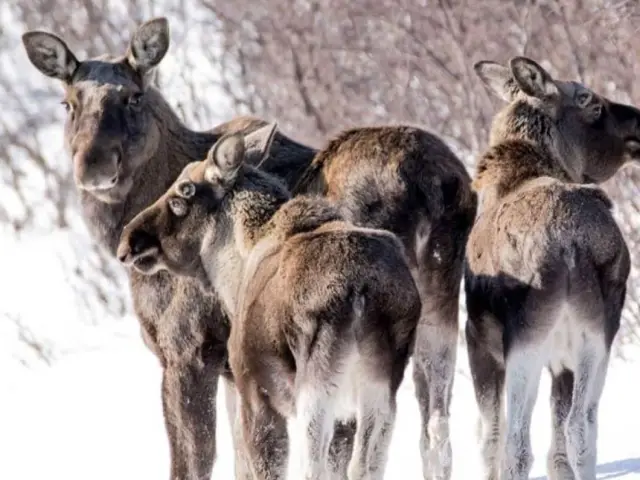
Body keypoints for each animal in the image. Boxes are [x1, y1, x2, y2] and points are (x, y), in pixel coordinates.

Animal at [116, 123, 422, 480]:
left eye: (183, 193)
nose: (129, 241)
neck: (234, 269)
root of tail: (360, 292)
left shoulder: (254, 390)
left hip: (317, 383)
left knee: (312, 466)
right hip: (380, 387)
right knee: (366, 464)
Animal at [465, 55, 640, 480]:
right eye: (593, 103)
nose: (639, 120)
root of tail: (567, 246)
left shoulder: (477, 337)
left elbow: (490, 440)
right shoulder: (562, 356)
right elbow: (558, 445)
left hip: (526, 340)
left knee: (518, 444)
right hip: (596, 334)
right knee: (583, 426)